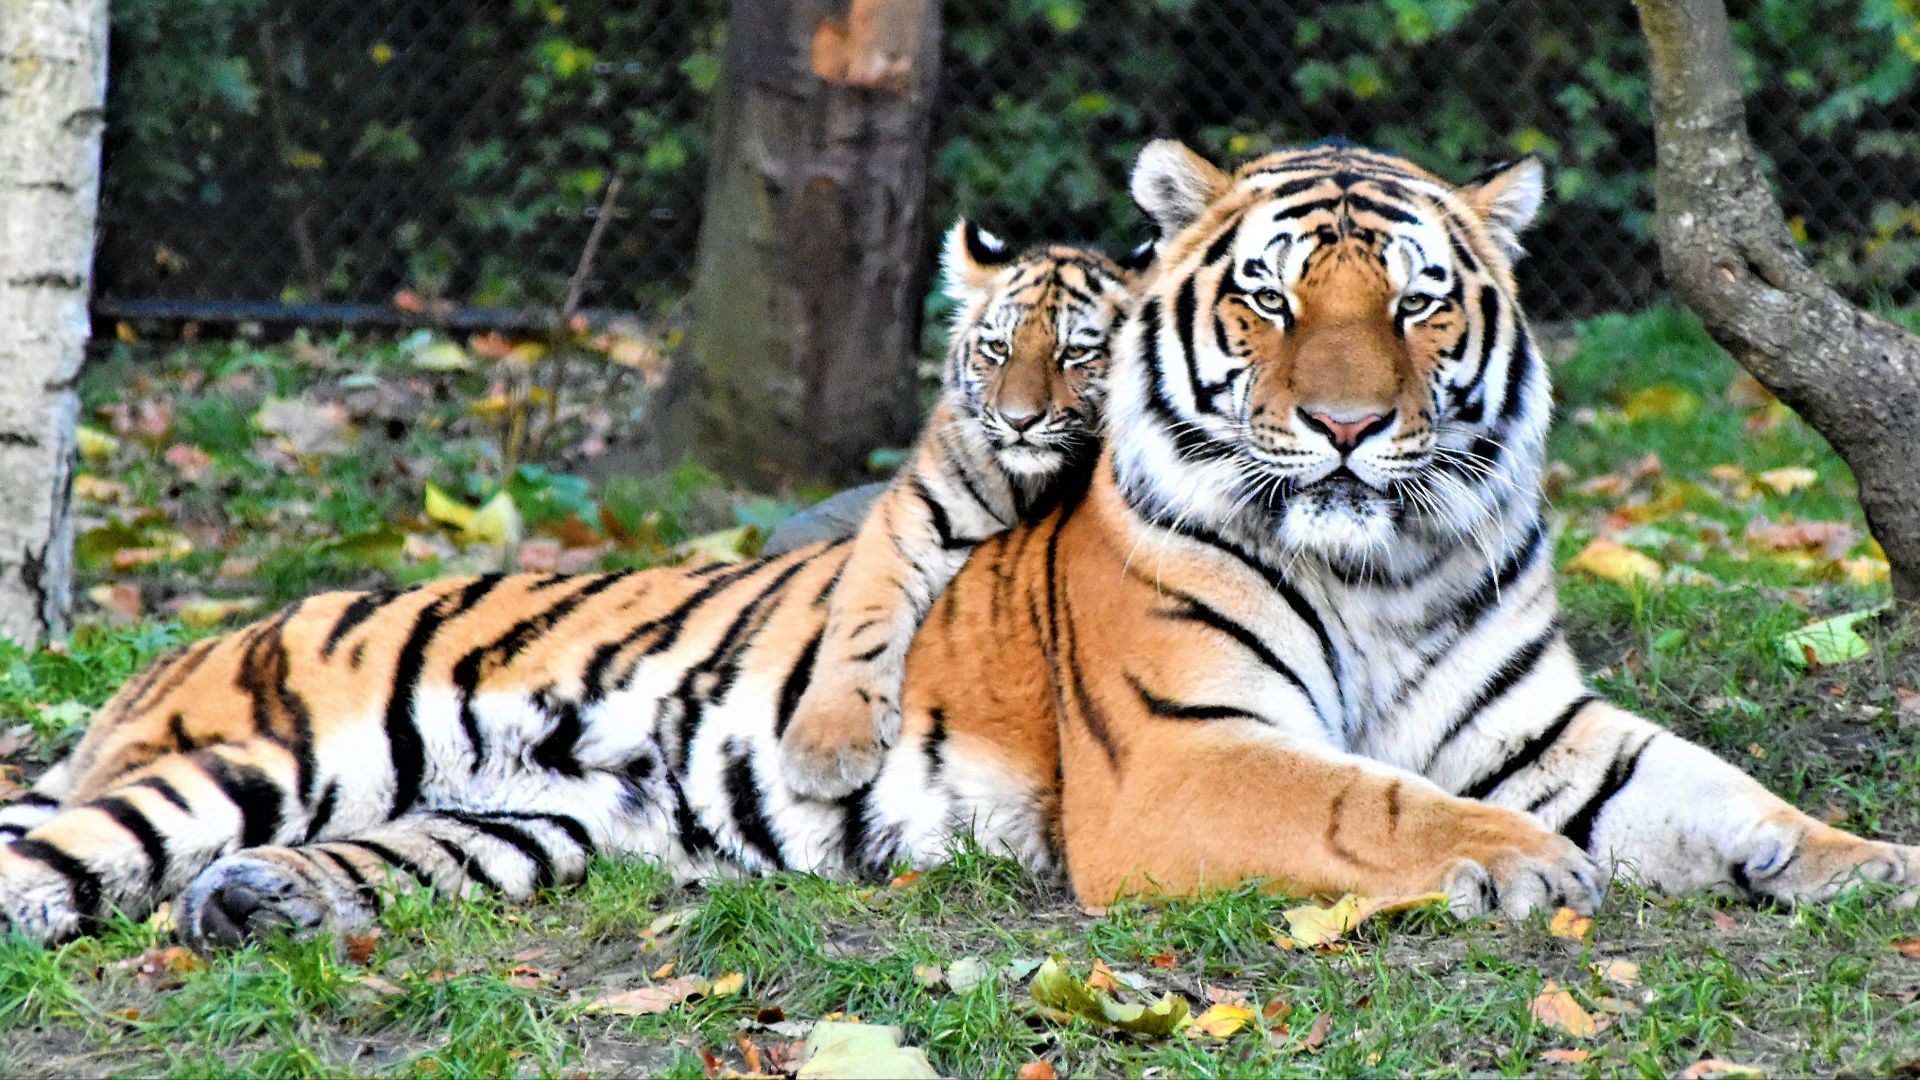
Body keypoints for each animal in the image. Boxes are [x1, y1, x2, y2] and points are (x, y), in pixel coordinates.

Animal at [776, 218, 1140, 799]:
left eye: (1075, 355)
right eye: (997, 347)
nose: (1019, 421)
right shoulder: (911, 516)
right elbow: (861, 617)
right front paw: (827, 747)